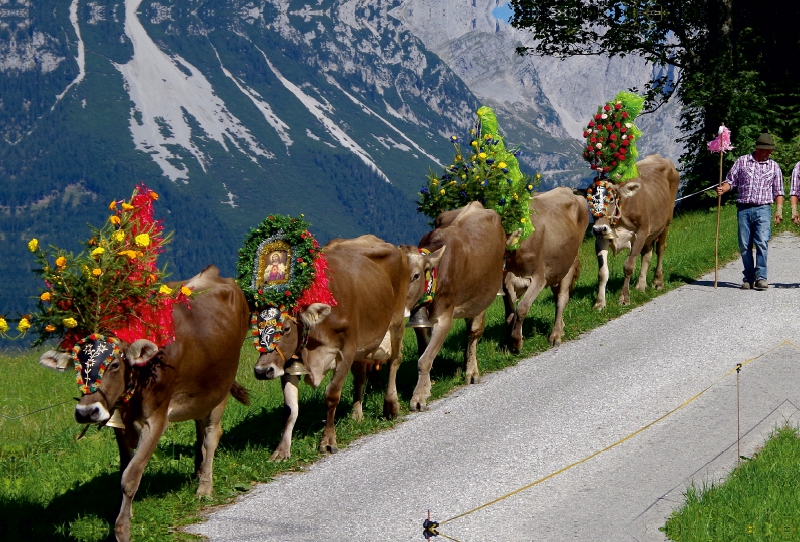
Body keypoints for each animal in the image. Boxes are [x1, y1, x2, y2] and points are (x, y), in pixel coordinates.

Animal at [37, 268, 248, 542]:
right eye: (77, 365)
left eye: (115, 364)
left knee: (212, 434)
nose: (86, 412)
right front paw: (126, 513)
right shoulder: (119, 420)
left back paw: (204, 487)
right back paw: (197, 471)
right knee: (200, 429)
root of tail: (213, 273)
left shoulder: (156, 418)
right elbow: (125, 470)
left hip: (221, 385)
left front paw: (122, 529)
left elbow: (131, 475)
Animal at [253, 236, 444, 462]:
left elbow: (332, 395)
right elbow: (290, 409)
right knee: (361, 376)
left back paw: (390, 405)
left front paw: (328, 440)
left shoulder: (347, 350)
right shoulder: (290, 361)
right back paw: (357, 414)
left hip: (396, 322)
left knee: (395, 361)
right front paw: (282, 450)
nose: (262, 371)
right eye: (256, 330)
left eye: (286, 328)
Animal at [404, 203, 510, 412]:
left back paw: (471, 371)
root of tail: (476, 204)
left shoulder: (444, 317)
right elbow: (424, 354)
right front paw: (426, 386)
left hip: (481, 299)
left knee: (473, 335)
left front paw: (418, 397)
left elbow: (425, 360)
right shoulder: (419, 318)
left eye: (416, 276)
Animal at [506, 187, 588, 352]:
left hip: (569, 263)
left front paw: (517, 342)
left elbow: (521, 308)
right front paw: (508, 342)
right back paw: (561, 327)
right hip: (557, 270)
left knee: (562, 298)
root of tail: (568, 190)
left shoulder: (538, 278)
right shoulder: (506, 280)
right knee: (557, 296)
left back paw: (555, 335)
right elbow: (509, 314)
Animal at [592, 156, 680, 310]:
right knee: (647, 253)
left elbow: (628, 266)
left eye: (611, 199)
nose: (598, 229)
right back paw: (641, 286)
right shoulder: (601, 239)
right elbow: (602, 273)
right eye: (590, 200)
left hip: (667, 220)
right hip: (650, 233)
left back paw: (658, 282)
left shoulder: (641, 233)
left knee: (660, 249)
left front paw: (624, 298)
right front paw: (599, 303)